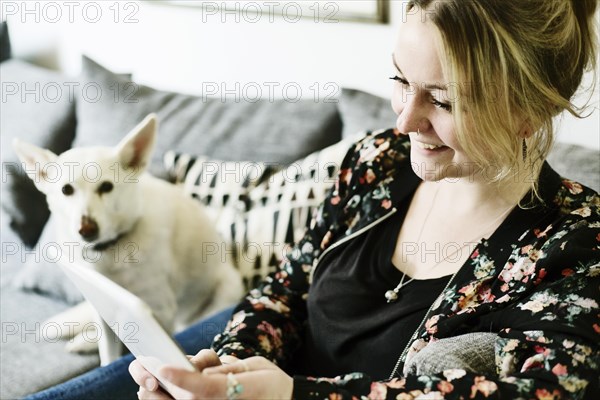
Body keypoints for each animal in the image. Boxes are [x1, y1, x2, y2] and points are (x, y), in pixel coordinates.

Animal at [13, 113, 244, 366]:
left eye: (106, 187)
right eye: (66, 190)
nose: (87, 229)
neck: (111, 250)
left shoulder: (161, 312)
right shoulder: (105, 306)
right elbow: (108, 355)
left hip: (227, 288)